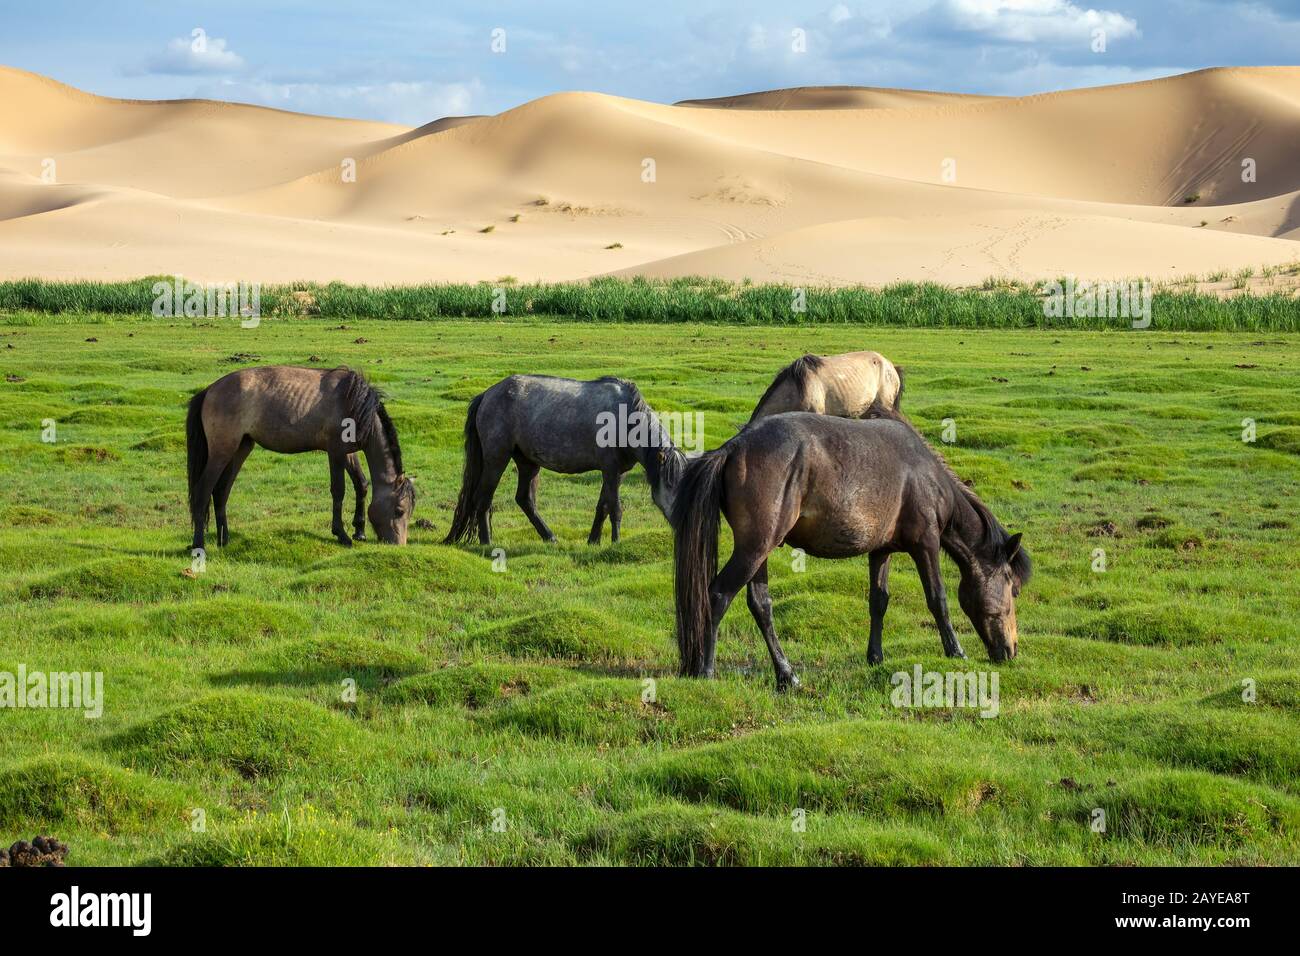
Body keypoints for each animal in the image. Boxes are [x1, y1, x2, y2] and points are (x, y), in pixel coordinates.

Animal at [183, 364, 413, 548]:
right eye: (399, 510)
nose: (399, 544)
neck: (354, 404)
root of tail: (210, 390)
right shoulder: (335, 452)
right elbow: (338, 490)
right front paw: (342, 534)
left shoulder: (349, 452)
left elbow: (361, 484)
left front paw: (360, 531)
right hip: (221, 452)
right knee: (203, 491)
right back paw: (199, 544)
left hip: (241, 448)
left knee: (221, 491)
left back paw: (224, 539)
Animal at [444, 377, 691, 548]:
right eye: (673, 489)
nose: (683, 525)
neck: (625, 418)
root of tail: (487, 394)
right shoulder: (610, 470)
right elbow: (615, 508)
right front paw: (616, 542)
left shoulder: (616, 472)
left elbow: (602, 507)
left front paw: (593, 541)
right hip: (497, 458)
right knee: (483, 498)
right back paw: (487, 543)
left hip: (527, 462)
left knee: (524, 500)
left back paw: (550, 537)